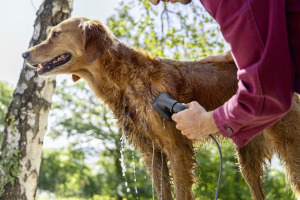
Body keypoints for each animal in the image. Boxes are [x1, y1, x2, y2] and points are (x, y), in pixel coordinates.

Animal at [22, 17, 300, 200]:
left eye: (55, 34)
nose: (24, 54)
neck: (129, 80)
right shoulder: (151, 151)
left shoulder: (177, 148)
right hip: (246, 158)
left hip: (290, 147)